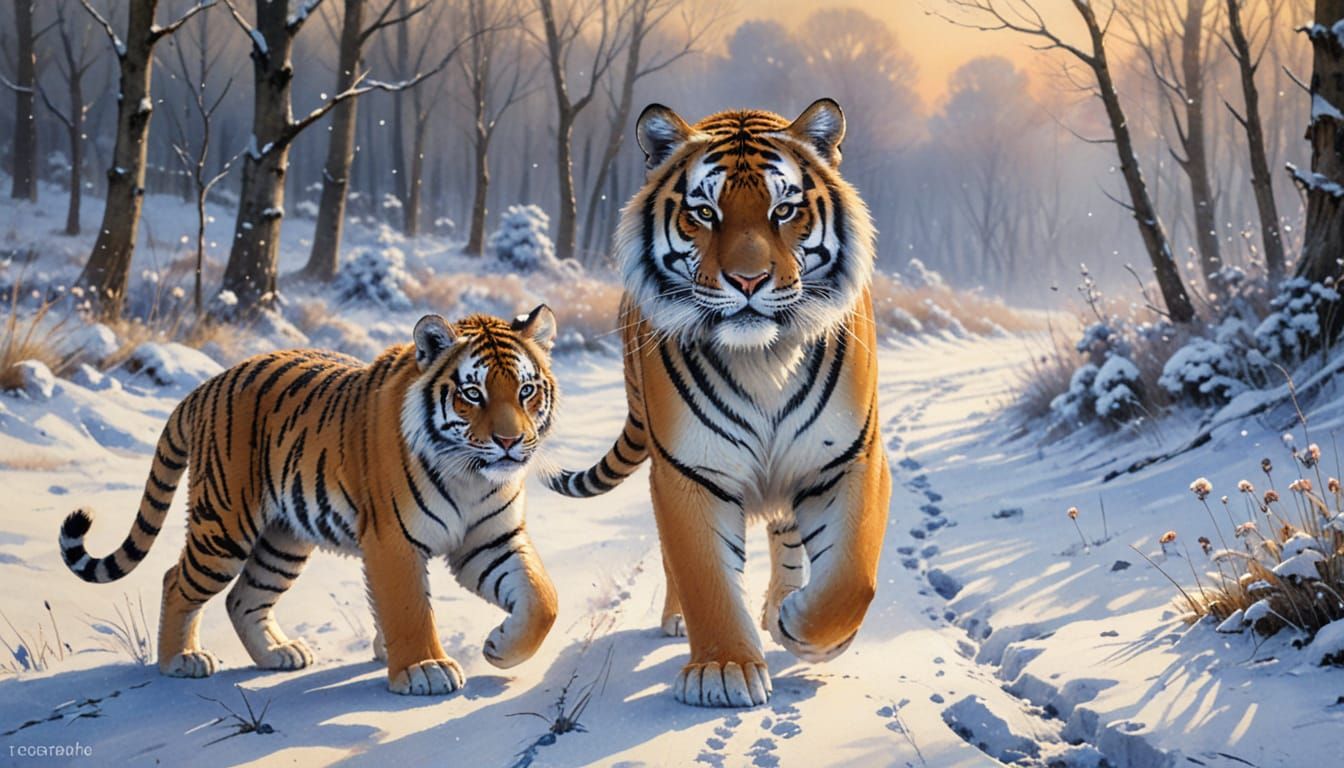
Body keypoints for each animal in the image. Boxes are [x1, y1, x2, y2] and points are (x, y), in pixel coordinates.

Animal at [58, 307, 561, 696]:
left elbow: (542, 600)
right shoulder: (393, 541)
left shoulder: (489, 541)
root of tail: (207, 385)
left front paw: (500, 647)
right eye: (472, 393)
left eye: (526, 390)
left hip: (283, 541)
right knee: (175, 580)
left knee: (243, 597)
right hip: (224, 527)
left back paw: (278, 653)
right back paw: (180, 660)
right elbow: (409, 609)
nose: (510, 442)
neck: (471, 477)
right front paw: (425, 670)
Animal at [547, 99, 890, 708]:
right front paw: (725, 670)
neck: (764, 359)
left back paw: (780, 605)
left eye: (784, 209)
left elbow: (853, 574)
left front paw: (805, 629)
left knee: (788, 533)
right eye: (704, 212)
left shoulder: (851, 458)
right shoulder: (689, 472)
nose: (748, 280)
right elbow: (704, 573)